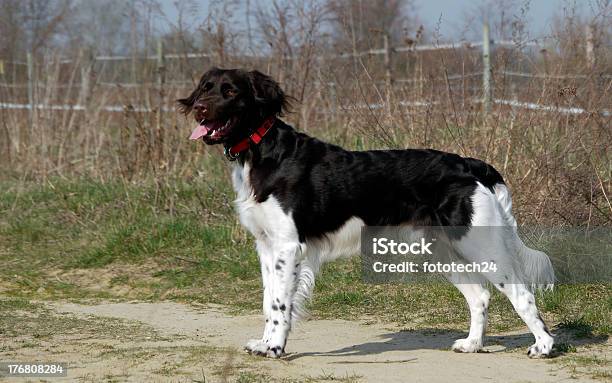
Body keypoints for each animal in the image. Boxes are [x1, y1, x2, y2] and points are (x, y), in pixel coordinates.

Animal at [177, 68, 556, 360]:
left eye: (230, 91)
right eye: (206, 87)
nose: (199, 109)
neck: (265, 152)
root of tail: (470, 165)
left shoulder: (288, 246)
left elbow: (281, 306)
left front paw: (275, 349)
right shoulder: (267, 247)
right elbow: (269, 301)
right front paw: (265, 343)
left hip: (481, 245)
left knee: (522, 295)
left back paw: (544, 346)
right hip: (442, 250)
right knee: (480, 296)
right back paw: (473, 344)